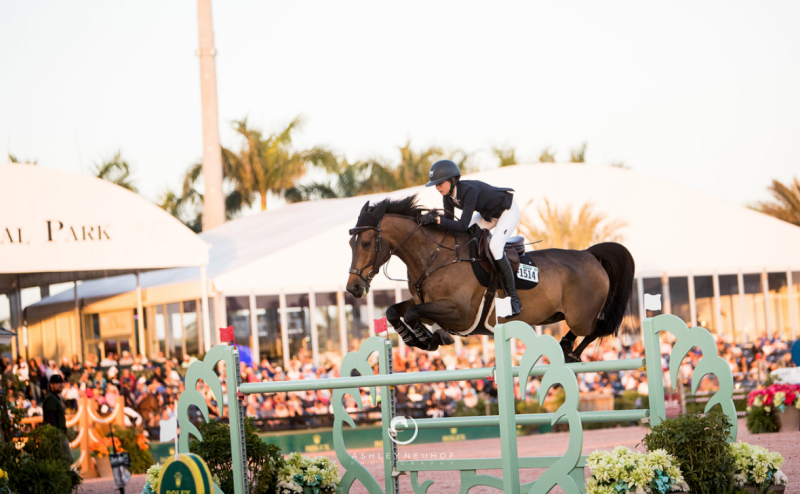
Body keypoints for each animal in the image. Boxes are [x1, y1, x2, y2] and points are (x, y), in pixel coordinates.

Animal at [346, 195, 636, 360]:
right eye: (351, 243)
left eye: (367, 243)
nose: (354, 288)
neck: (434, 257)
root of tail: (589, 255)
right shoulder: (427, 304)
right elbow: (396, 311)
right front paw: (419, 339)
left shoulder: (459, 313)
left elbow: (412, 313)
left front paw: (431, 339)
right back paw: (566, 347)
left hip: (580, 317)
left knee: (598, 329)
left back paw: (570, 351)